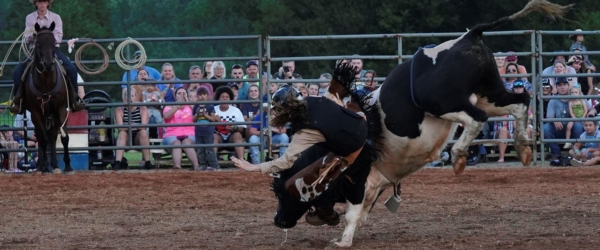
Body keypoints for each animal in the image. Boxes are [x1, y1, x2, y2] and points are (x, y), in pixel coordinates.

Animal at [23, 22, 72, 174]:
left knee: (52, 136)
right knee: (42, 137)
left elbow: (63, 137)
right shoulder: (35, 112)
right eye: (38, 43)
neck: (46, 82)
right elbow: (43, 139)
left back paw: (54, 165)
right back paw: (41, 166)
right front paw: (44, 166)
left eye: (54, 42)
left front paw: (67, 166)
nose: (49, 64)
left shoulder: (61, 109)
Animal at [332, 0, 572, 246]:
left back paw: (458, 155)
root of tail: (468, 36)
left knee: (477, 118)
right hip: (489, 93)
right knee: (520, 102)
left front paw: (343, 241)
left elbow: (353, 212)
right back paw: (523, 147)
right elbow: (362, 211)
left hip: (440, 100)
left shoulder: (357, 179)